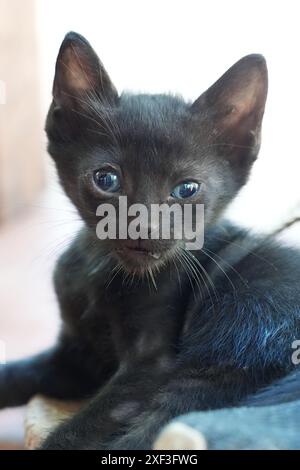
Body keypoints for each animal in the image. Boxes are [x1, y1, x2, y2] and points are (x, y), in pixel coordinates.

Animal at [0, 31, 300, 450]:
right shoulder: (75, 361)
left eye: (187, 189)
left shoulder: (148, 368)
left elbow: (76, 431)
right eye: (107, 179)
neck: (99, 274)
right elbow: (16, 374)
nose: (145, 228)